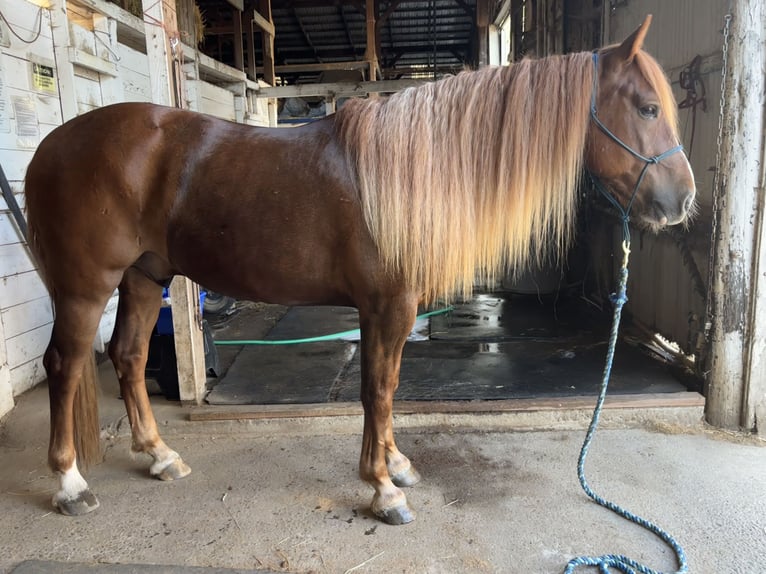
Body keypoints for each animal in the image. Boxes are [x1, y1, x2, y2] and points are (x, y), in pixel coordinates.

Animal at [25, 15, 696, 524]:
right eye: (646, 108)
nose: (682, 200)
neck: (415, 169)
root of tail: (50, 147)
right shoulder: (387, 306)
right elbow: (377, 389)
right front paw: (382, 488)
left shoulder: (395, 310)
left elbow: (390, 384)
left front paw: (396, 464)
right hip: (87, 286)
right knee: (64, 364)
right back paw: (69, 484)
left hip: (145, 276)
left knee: (129, 356)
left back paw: (159, 456)